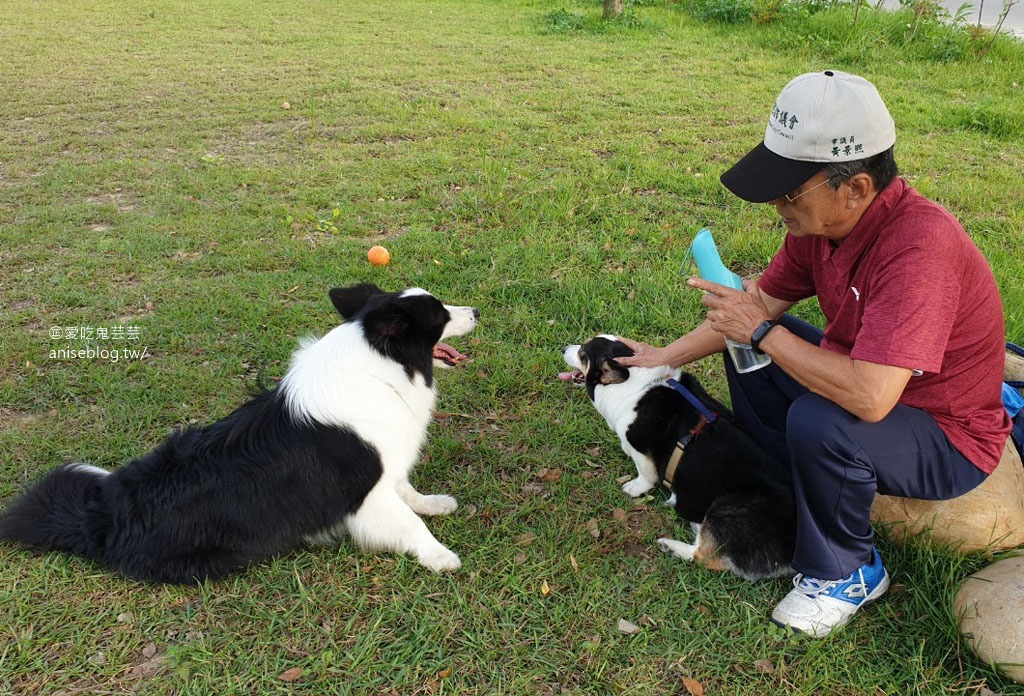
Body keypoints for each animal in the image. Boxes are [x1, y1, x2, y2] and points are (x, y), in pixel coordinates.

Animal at [0, 282, 479, 581]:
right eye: (439, 312)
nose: (475, 311)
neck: (377, 366)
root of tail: (104, 514)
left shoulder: (385, 466)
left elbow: (409, 493)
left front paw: (435, 504)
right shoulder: (366, 491)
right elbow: (407, 523)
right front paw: (440, 556)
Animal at [565, 337, 794, 581]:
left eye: (582, 353)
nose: (563, 349)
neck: (634, 381)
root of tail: (793, 553)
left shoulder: (640, 449)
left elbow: (645, 474)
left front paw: (634, 488)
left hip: (726, 508)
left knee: (704, 557)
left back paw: (671, 545)